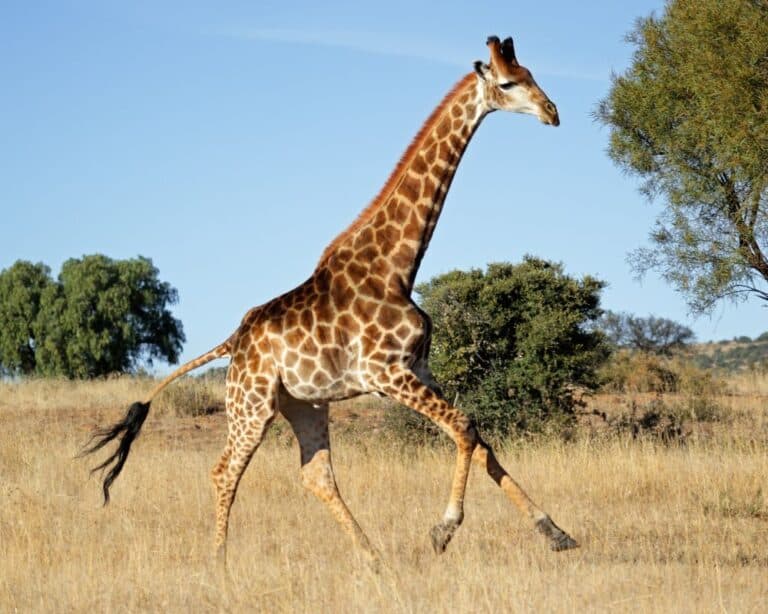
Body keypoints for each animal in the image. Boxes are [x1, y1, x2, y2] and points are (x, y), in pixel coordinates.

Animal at [83, 35, 578, 567]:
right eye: (508, 83)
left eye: (530, 74)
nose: (552, 112)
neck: (397, 267)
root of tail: (233, 342)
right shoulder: (387, 373)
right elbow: (466, 428)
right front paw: (442, 531)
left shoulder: (418, 368)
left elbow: (481, 440)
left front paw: (556, 533)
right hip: (251, 405)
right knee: (224, 470)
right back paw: (221, 565)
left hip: (303, 404)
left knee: (315, 474)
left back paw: (373, 558)